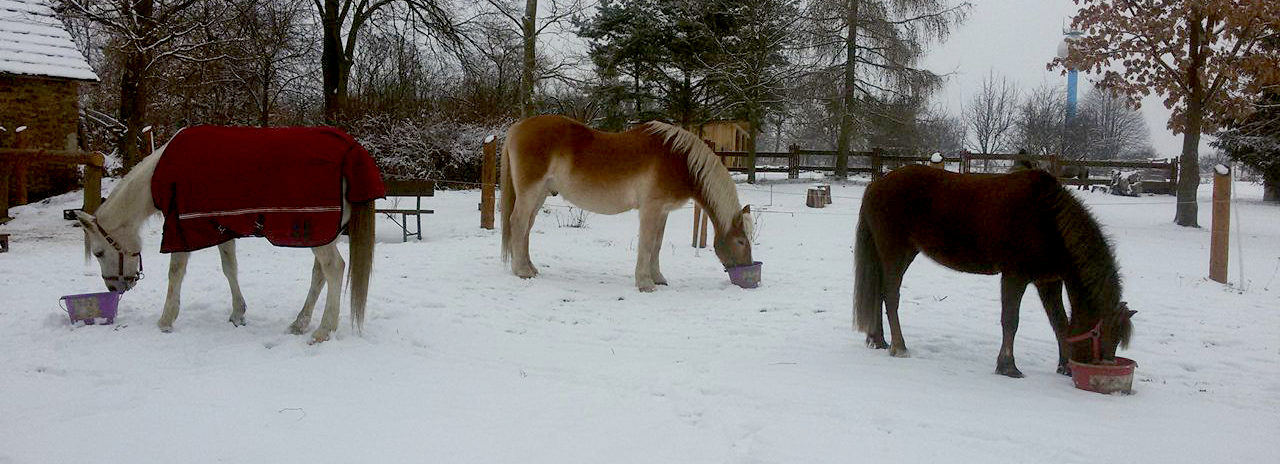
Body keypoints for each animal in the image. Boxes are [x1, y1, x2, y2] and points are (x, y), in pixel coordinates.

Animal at [499, 114, 752, 289]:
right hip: (530, 191)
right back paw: (522, 271)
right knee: (518, 223)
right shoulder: (651, 208)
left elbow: (657, 244)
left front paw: (657, 278)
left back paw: (530, 267)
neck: (679, 161)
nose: (748, 269)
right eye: (740, 241)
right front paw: (645, 283)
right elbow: (647, 244)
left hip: (541, 193)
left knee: (527, 227)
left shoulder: (663, 211)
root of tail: (518, 127)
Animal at [855, 165, 1136, 376]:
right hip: (895, 252)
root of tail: (876, 185)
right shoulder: (1015, 276)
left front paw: (1064, 366)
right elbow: (1010, 321)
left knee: (880, 293)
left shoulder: (1048, 282)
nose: (1100, 368)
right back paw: (899, 346)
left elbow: (1059, 323)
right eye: (1103, 334)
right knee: (891, 296)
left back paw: (879, 340)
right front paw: (1008, 366)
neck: (1047, 221)